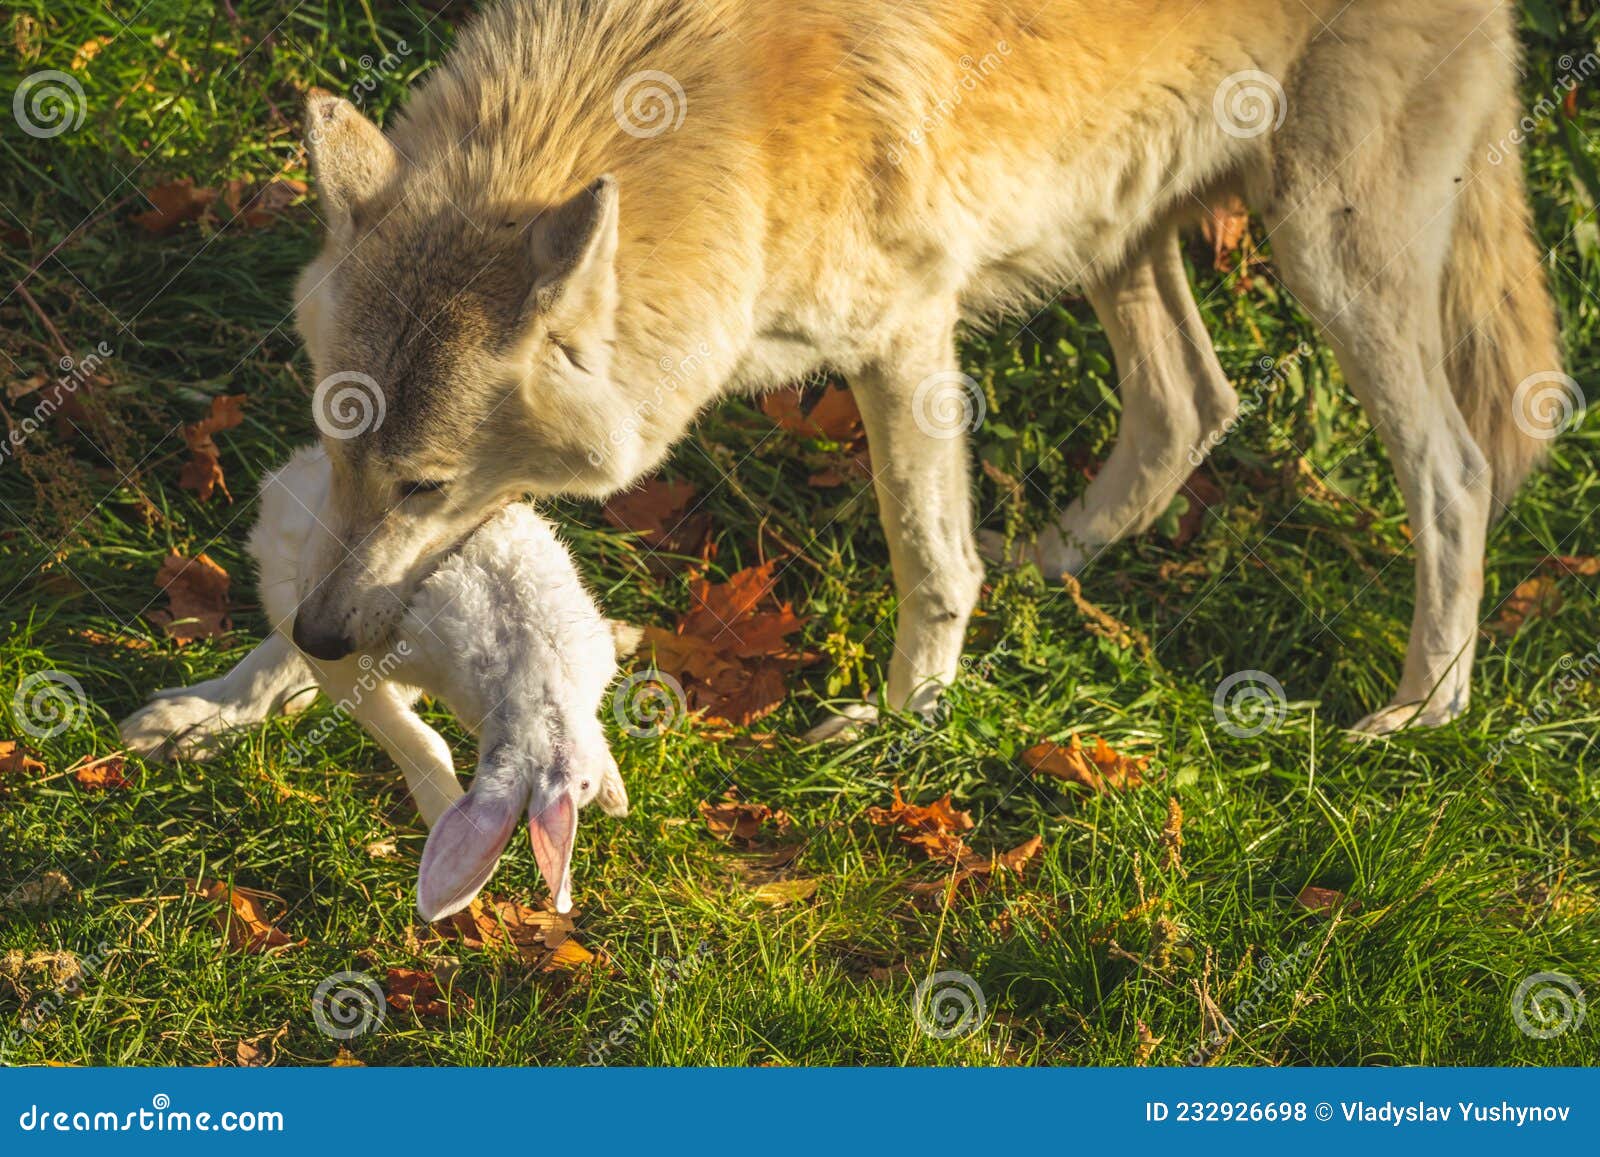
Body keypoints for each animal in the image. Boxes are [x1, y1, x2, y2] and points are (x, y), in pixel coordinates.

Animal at [159, 0, 1561, 742]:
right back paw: (1047, 565)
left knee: (1454, 470)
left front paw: (900, 728)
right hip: (1120, 232)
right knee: (1188, 405)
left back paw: (1422, 715)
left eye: (424, 483)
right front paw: (225, 699)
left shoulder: (907, 335)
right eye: (344, 457)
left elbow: (928, 560)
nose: (324, 633)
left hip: (1326, 250)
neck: (719, 143)